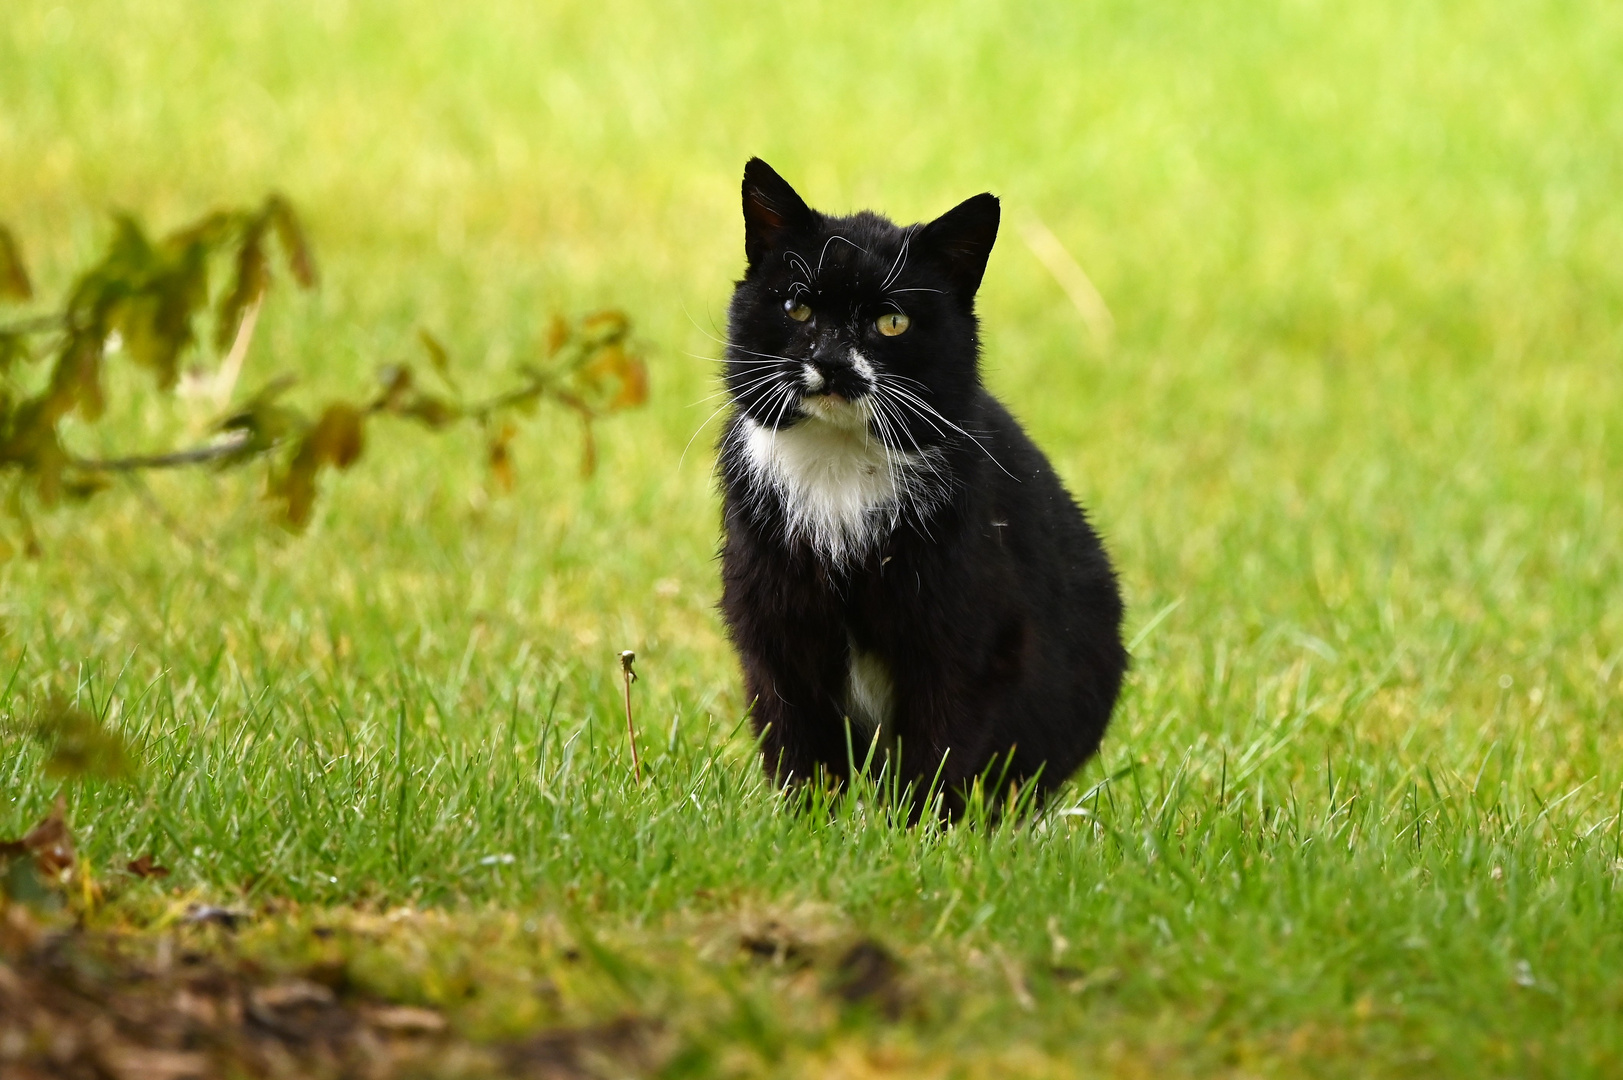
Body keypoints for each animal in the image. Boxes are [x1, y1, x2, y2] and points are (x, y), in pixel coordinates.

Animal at [717, 159, 1123, 812]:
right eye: (798, 307)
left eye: (893, 321)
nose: (832, 362)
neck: (839, 465)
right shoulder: (775, 633)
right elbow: (801, 747)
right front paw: (803, 823)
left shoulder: (966, 643)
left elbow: (940, 751)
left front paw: (916, 829)